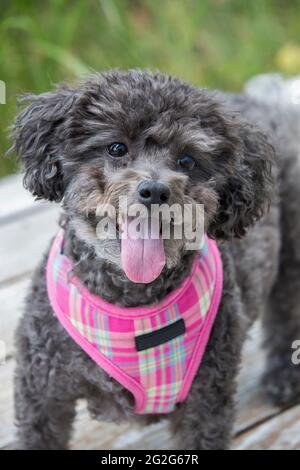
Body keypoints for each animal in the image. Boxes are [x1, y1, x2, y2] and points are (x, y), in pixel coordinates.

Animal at [10, 70, 300, 448]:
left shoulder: (207, 397)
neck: (131, 299)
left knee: (286, 317)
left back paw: (284, 376)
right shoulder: (41, 390)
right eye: (117, 148)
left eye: (187, 160)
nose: (155, 191)